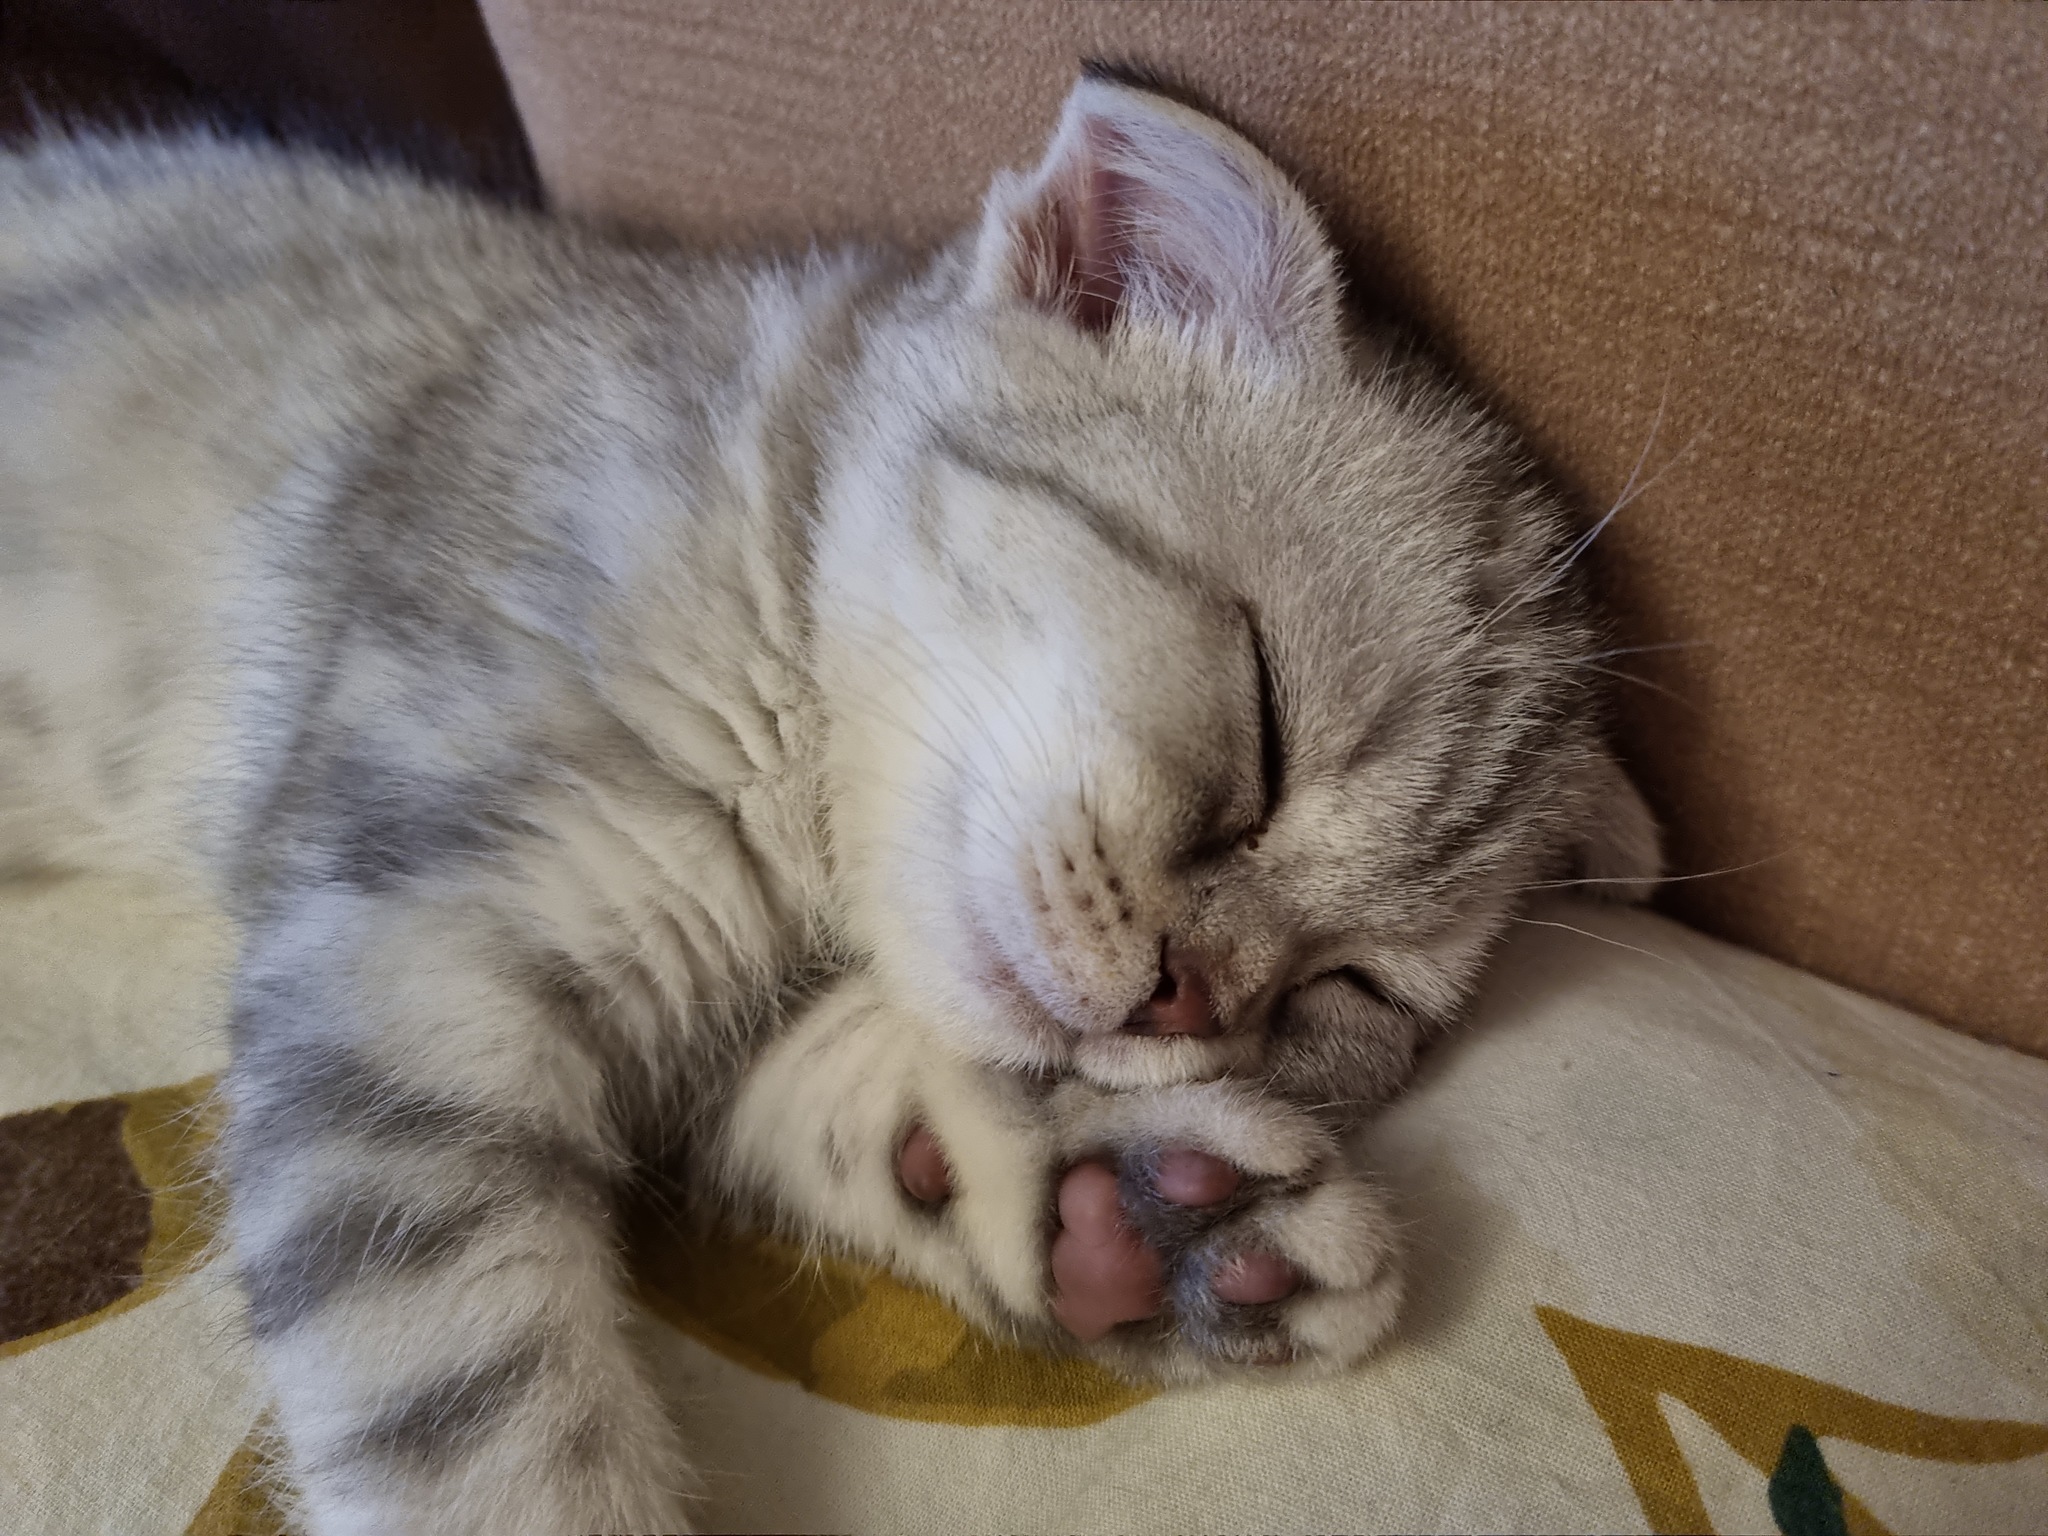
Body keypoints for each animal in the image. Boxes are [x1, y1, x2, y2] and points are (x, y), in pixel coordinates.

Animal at [0, 75, 1654, 1536]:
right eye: (1264, 732)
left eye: (1351, 990)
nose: (1190, 998)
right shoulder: (405, 944)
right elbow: (475, 1412)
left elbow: (845, 1083)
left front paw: (1129, 1205)